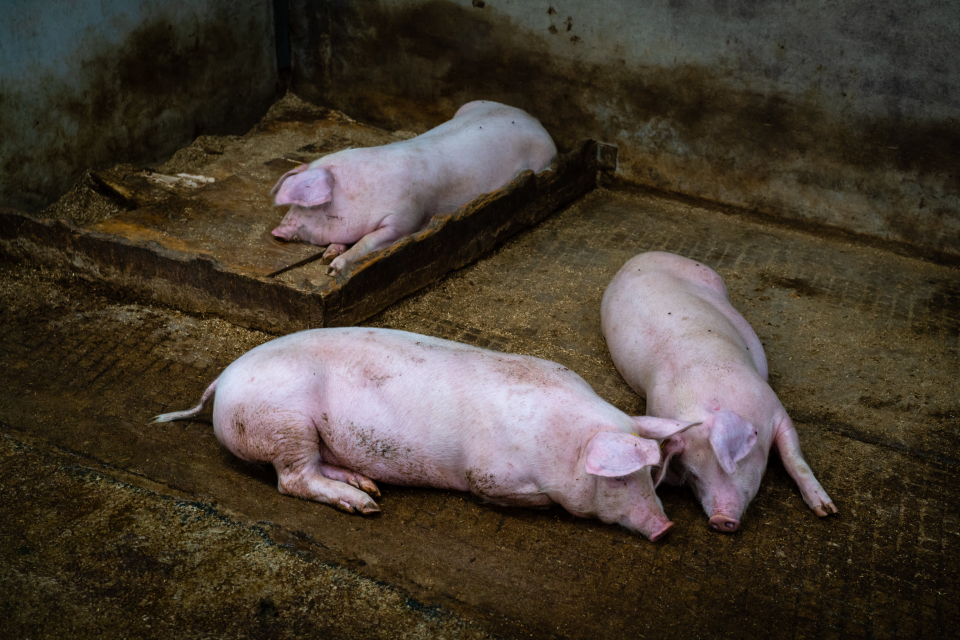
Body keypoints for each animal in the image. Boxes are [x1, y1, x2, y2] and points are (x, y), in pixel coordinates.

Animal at [152, 327, 698, 541]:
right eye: (620, 478)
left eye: (650, 477)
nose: (667, 527)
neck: (561, 443)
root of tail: (223, 380)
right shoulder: (488, 477)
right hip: (283, 422)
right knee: (292, 479)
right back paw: (366, 506)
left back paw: (369, 487)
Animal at [270, 101, 557, 275]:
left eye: (310, 208)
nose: (276, 232)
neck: (362, 195)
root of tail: (535, 121)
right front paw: (328, 255)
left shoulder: (405, 219)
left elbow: (367, 241)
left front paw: (333, 268)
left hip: (541, 162)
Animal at [601, 252, 837, 532]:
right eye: (693, 476)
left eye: (728, 465)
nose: (719, 519)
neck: (701, 400)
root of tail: (639, 257)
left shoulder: (775, 409)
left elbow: (794, 459)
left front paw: (827, 511)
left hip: (711, 276)